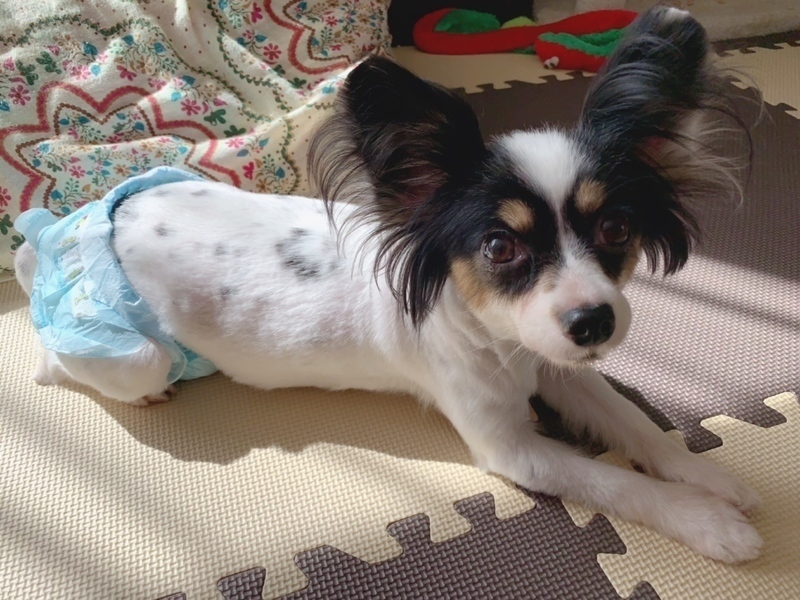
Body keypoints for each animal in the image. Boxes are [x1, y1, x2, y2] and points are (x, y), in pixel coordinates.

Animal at [15, 7, 762, 563]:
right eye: (499, 247)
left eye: (616, 228)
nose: (595, 324)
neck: (504, 343)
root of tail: (104, 213)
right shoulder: (514, 449)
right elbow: (614, 481)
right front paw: (710, 523)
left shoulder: (557, 360)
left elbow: (636, 425)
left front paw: (712, 476)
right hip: (132, 353)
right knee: (59, 363)